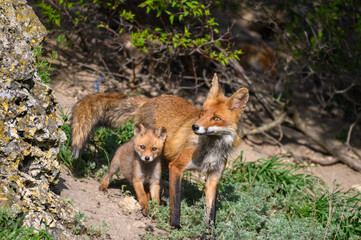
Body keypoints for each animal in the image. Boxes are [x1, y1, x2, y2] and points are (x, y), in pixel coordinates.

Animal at [71, 74, 249, 228]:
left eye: (216, 118)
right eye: (203, 112)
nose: (195, 127)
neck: (212, 148)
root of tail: (150, 99)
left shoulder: (214, 177)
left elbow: (210, 212)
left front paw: (209, 231)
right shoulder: (176, 167)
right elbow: (176, 202)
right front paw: (175, 225)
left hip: (160, 160)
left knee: (151, 185)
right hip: (158, 159)